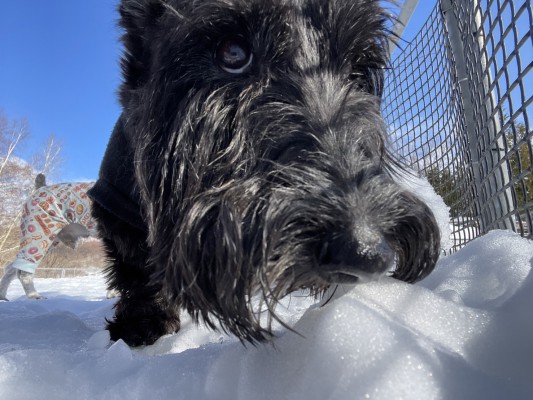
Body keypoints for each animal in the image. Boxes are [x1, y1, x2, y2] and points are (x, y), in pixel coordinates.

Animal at [87, 0, 438, 346]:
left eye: (356, 71)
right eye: (232, 52)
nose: (366, 252)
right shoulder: (115, 207)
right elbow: (135, 267)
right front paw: (145, 321)